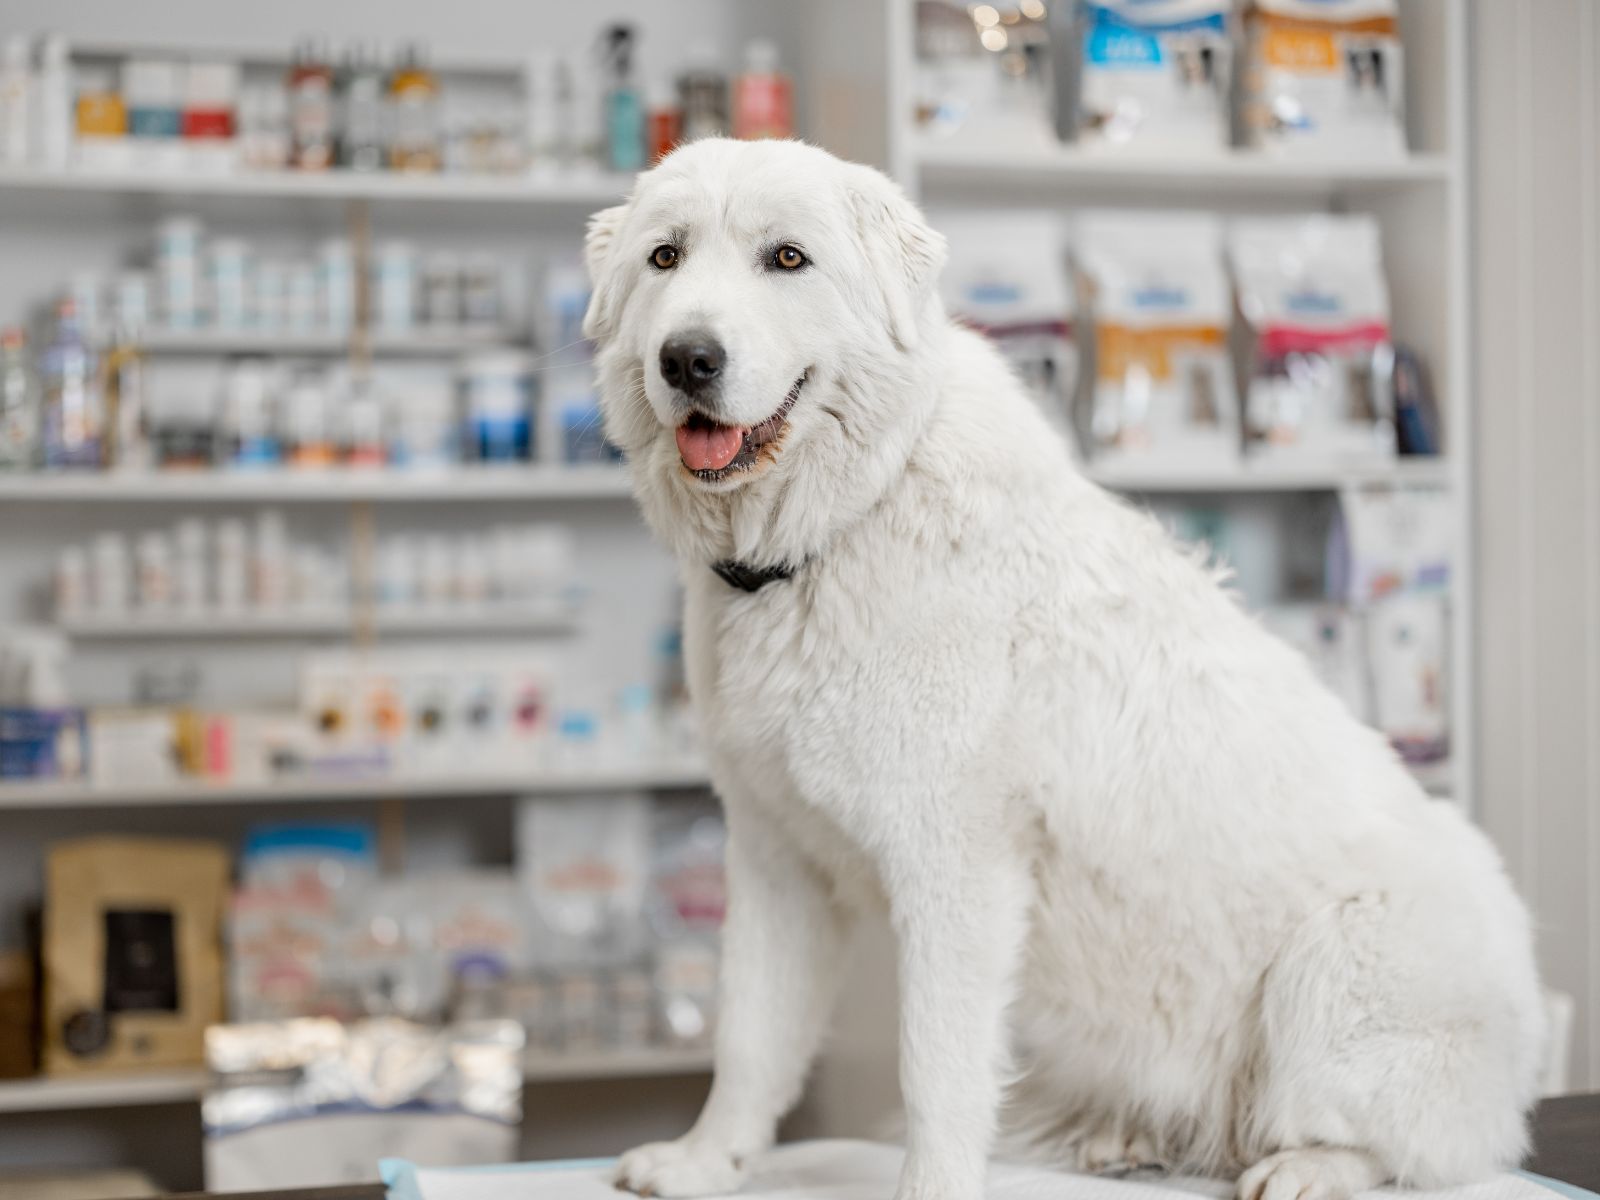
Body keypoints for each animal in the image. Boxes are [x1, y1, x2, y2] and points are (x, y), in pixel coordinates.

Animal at [588, 140, 1548, 1200]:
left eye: (787, 259)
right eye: (666, 257)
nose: (688, 359)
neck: (844, 523)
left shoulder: (955, 871)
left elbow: (935, 1069)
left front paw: (930, 1188)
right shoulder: (774, 860)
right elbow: (751, 1036)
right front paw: (704, 1159)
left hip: (1337, 963)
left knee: (1422, 1150)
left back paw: (1308, 1167)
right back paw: (1124, 1140)